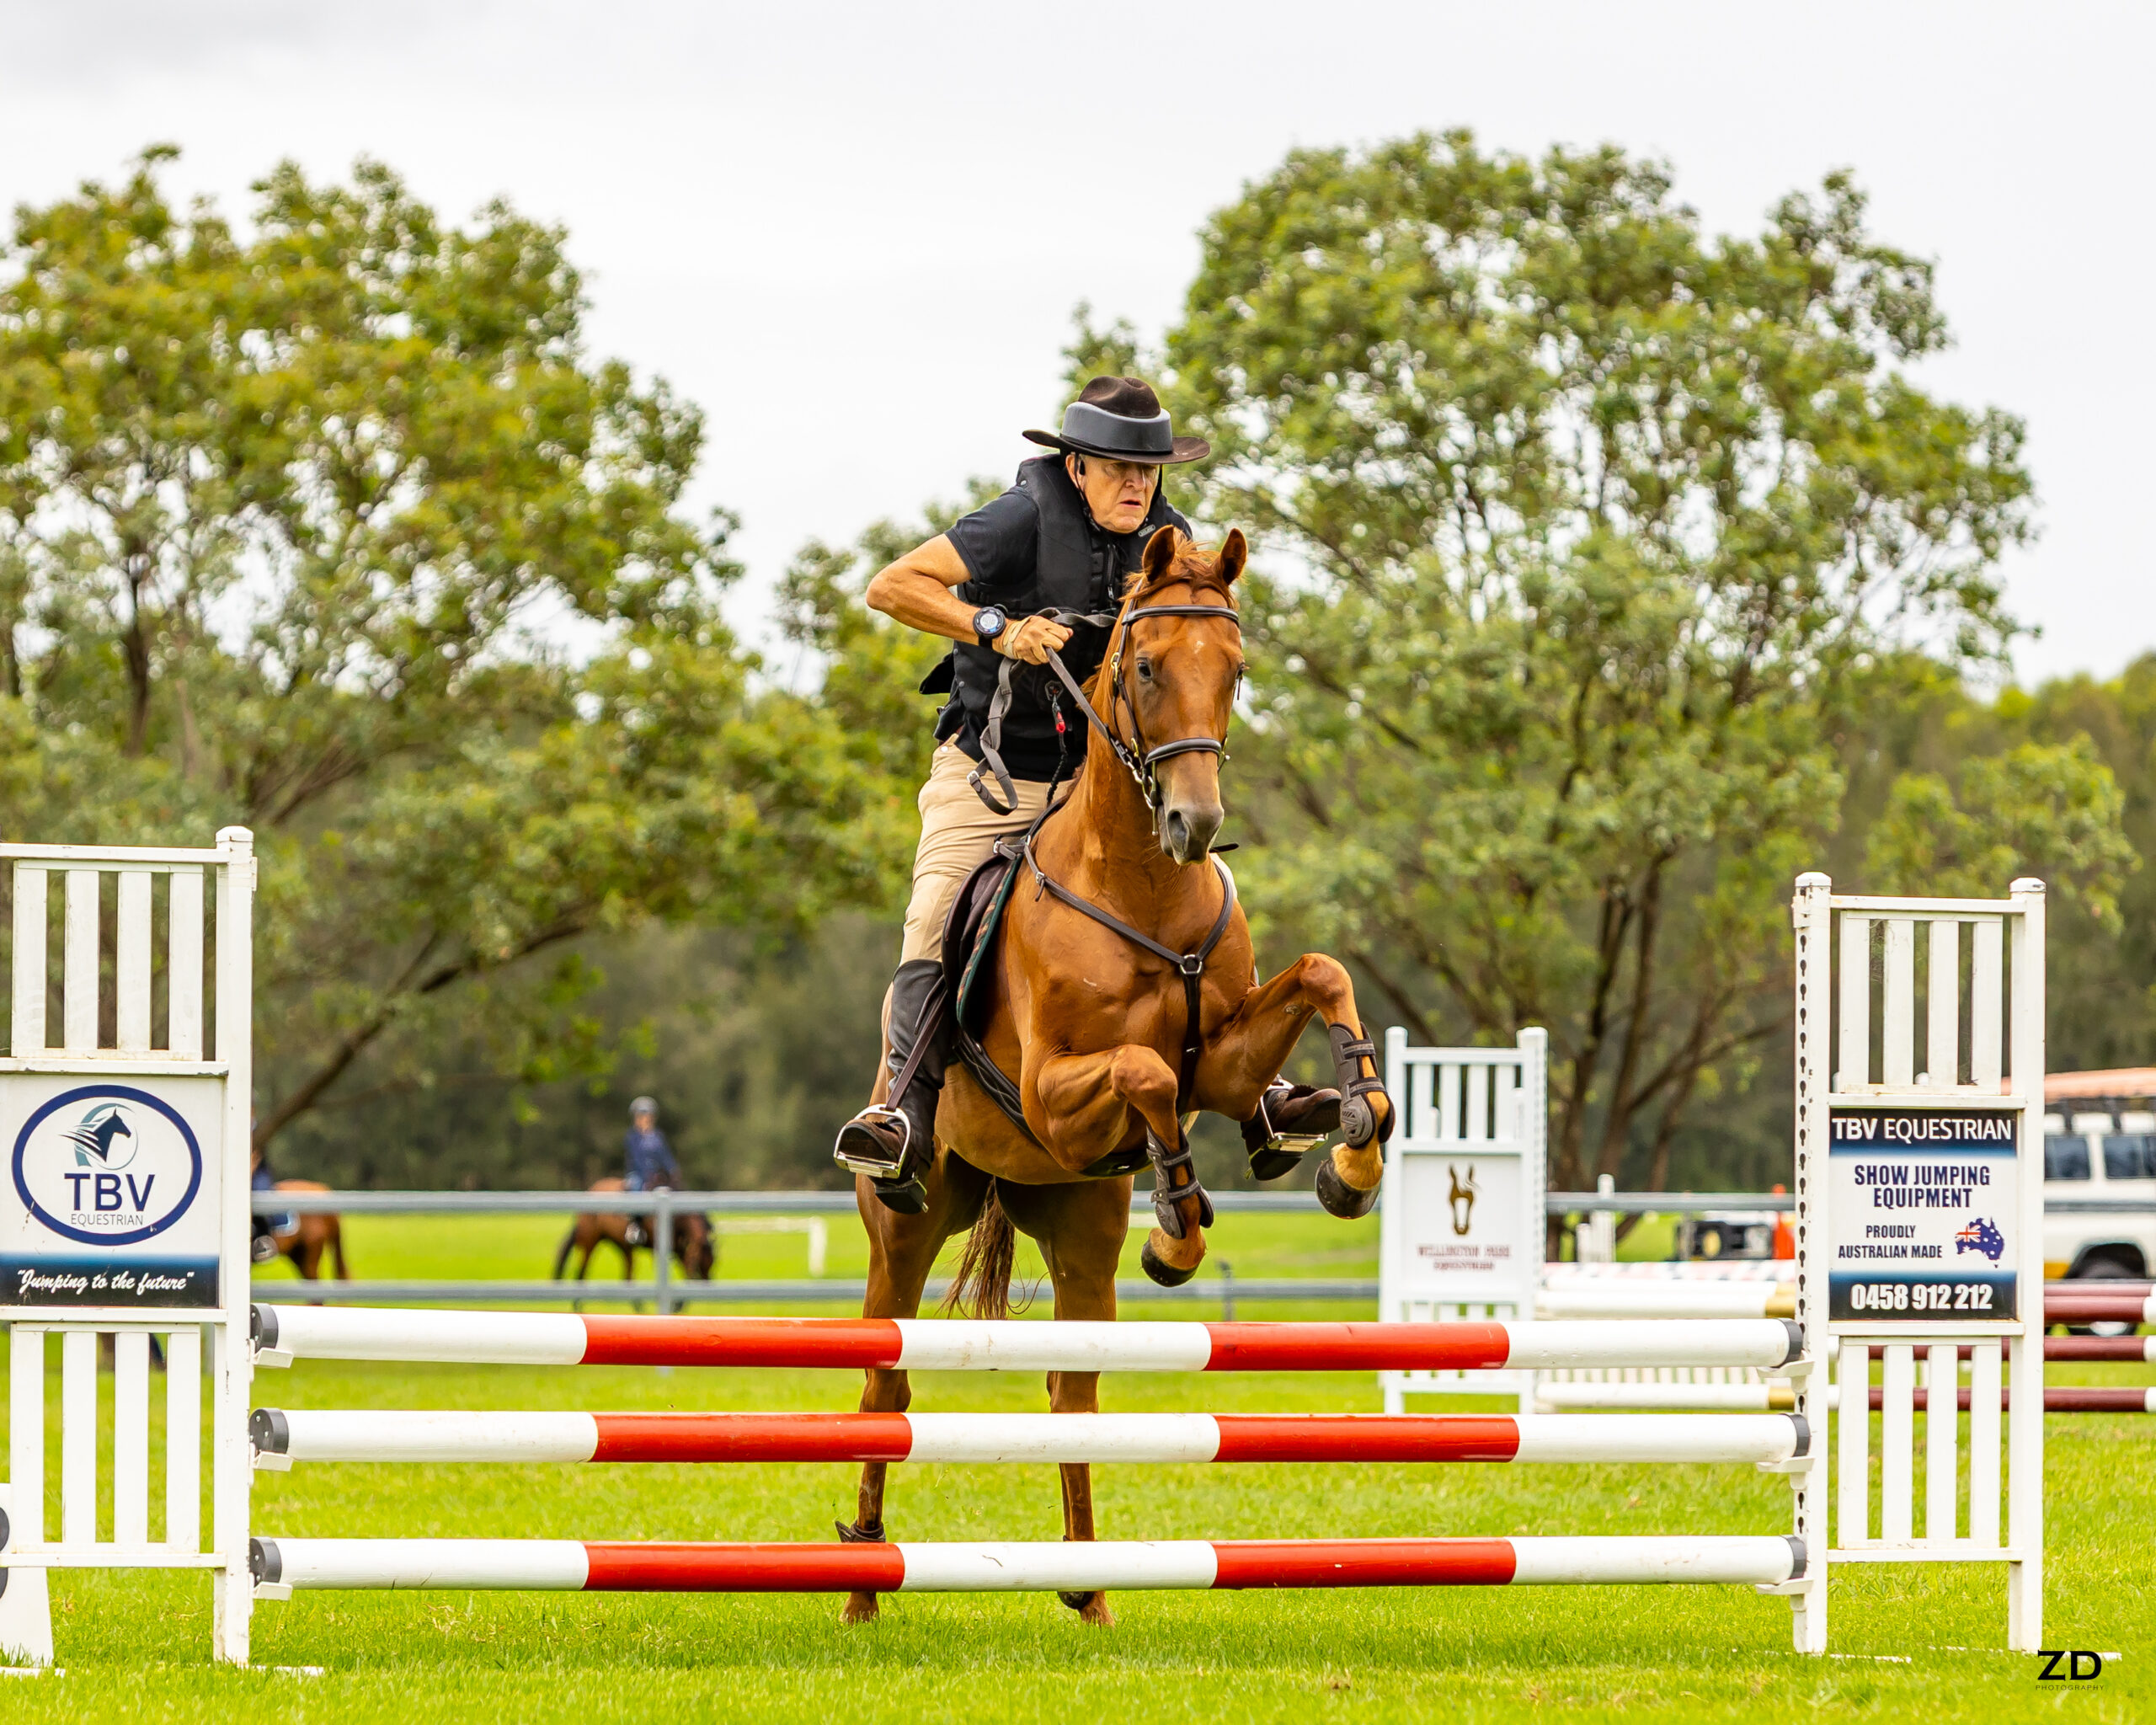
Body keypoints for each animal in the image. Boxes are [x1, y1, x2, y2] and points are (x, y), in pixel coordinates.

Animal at [551, 1178, 717, 1307]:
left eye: (713, 1262)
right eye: (704, 1260)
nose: (708, 1283)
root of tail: (590, 1191)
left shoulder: (679, 1249)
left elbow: (685, 1269)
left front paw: (680, 1302)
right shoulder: (664, 1249)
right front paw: (679, 1303)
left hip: (622, 1245)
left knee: (628, 1273)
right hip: (590, 1242)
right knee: (581, 1273)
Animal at [842, 526, 1395, 1628]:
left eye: (1234, 671)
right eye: (1144, 667)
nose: (1193, 823)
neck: (1138, 879)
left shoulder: (1220, 1062)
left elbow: (1321, 975)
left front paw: (1349, 1147)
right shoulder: (1056, 1095)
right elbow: (1143, 1069)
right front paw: (1180, 1225)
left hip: (1080, 1224)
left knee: (1073, 1392)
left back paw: (1089, 1589)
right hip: (910, 1225)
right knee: (887, 1390)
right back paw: (863, 1587)